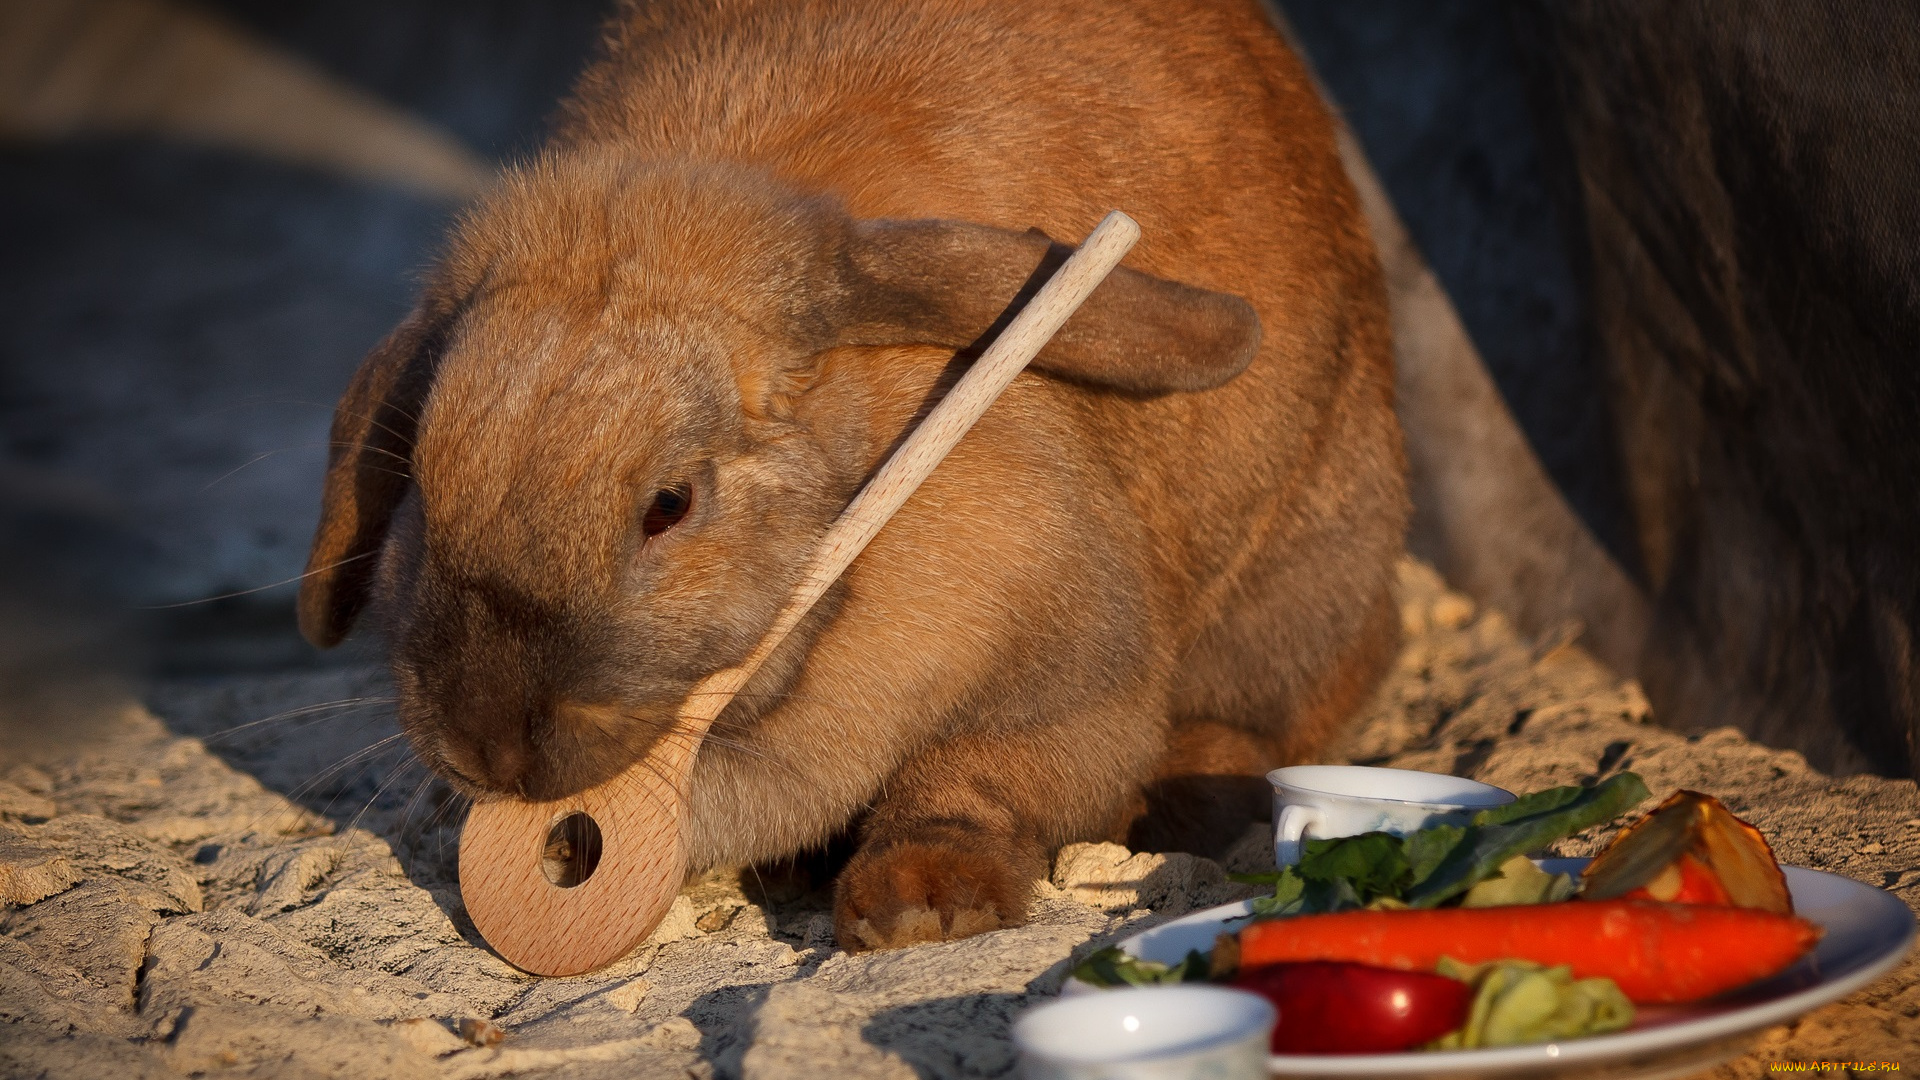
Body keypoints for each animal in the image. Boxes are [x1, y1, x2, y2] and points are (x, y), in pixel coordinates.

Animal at [299, 0, 1413, 945]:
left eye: (669, 505)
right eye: (422, 483)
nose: (486, 747)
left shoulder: (1064, 676)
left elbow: (978, 777)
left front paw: (921, 908)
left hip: (1299, 589)